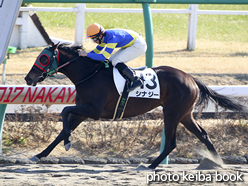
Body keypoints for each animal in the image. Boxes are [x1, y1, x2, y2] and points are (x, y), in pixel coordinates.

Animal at [24, 42, 245, 169]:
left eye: (43, 58)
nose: (28, 78)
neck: (90, 75)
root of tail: (191, 78)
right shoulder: (83, 112)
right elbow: (62, 129)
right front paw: (40, 155)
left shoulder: (93, 111)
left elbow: (64, 110)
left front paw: (68, 143)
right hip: (184, 114)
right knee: (203, 135)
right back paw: (217, 163)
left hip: (172, 112)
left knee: (172, 143)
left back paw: (150, 165)